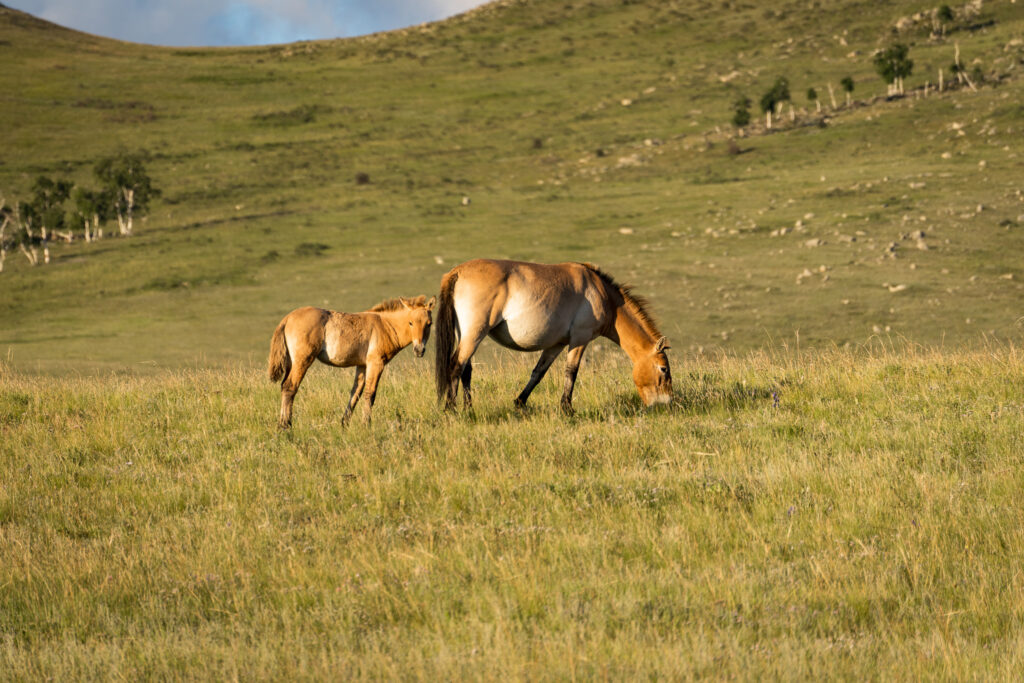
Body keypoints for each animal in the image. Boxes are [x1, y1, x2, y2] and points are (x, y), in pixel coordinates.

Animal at [268, 295, 435, 428]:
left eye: (429, 323)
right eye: (411, 322)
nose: (419, 350)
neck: (385, 326)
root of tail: (288, 318)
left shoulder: (362, 365)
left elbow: (356, 393)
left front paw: (345, 423)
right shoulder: (376, 363)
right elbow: (370, 393)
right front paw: (366, 424)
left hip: (291, 362)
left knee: (284, 386)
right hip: (303, 361)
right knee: (290, 387)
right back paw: (285, 425)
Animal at [434, 259, 672, 413]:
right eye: (663, 369)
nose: (666, 403)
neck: (601, 293)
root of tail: (457, 272)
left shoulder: (556, 344)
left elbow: (538, 373)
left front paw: (520, 402)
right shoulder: (579, 339)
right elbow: (571, 371)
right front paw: (567, 408)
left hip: (467, 334)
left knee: (466, 370)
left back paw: (469, 408)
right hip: (475, 333)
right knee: (456, 365)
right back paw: (451, 409)